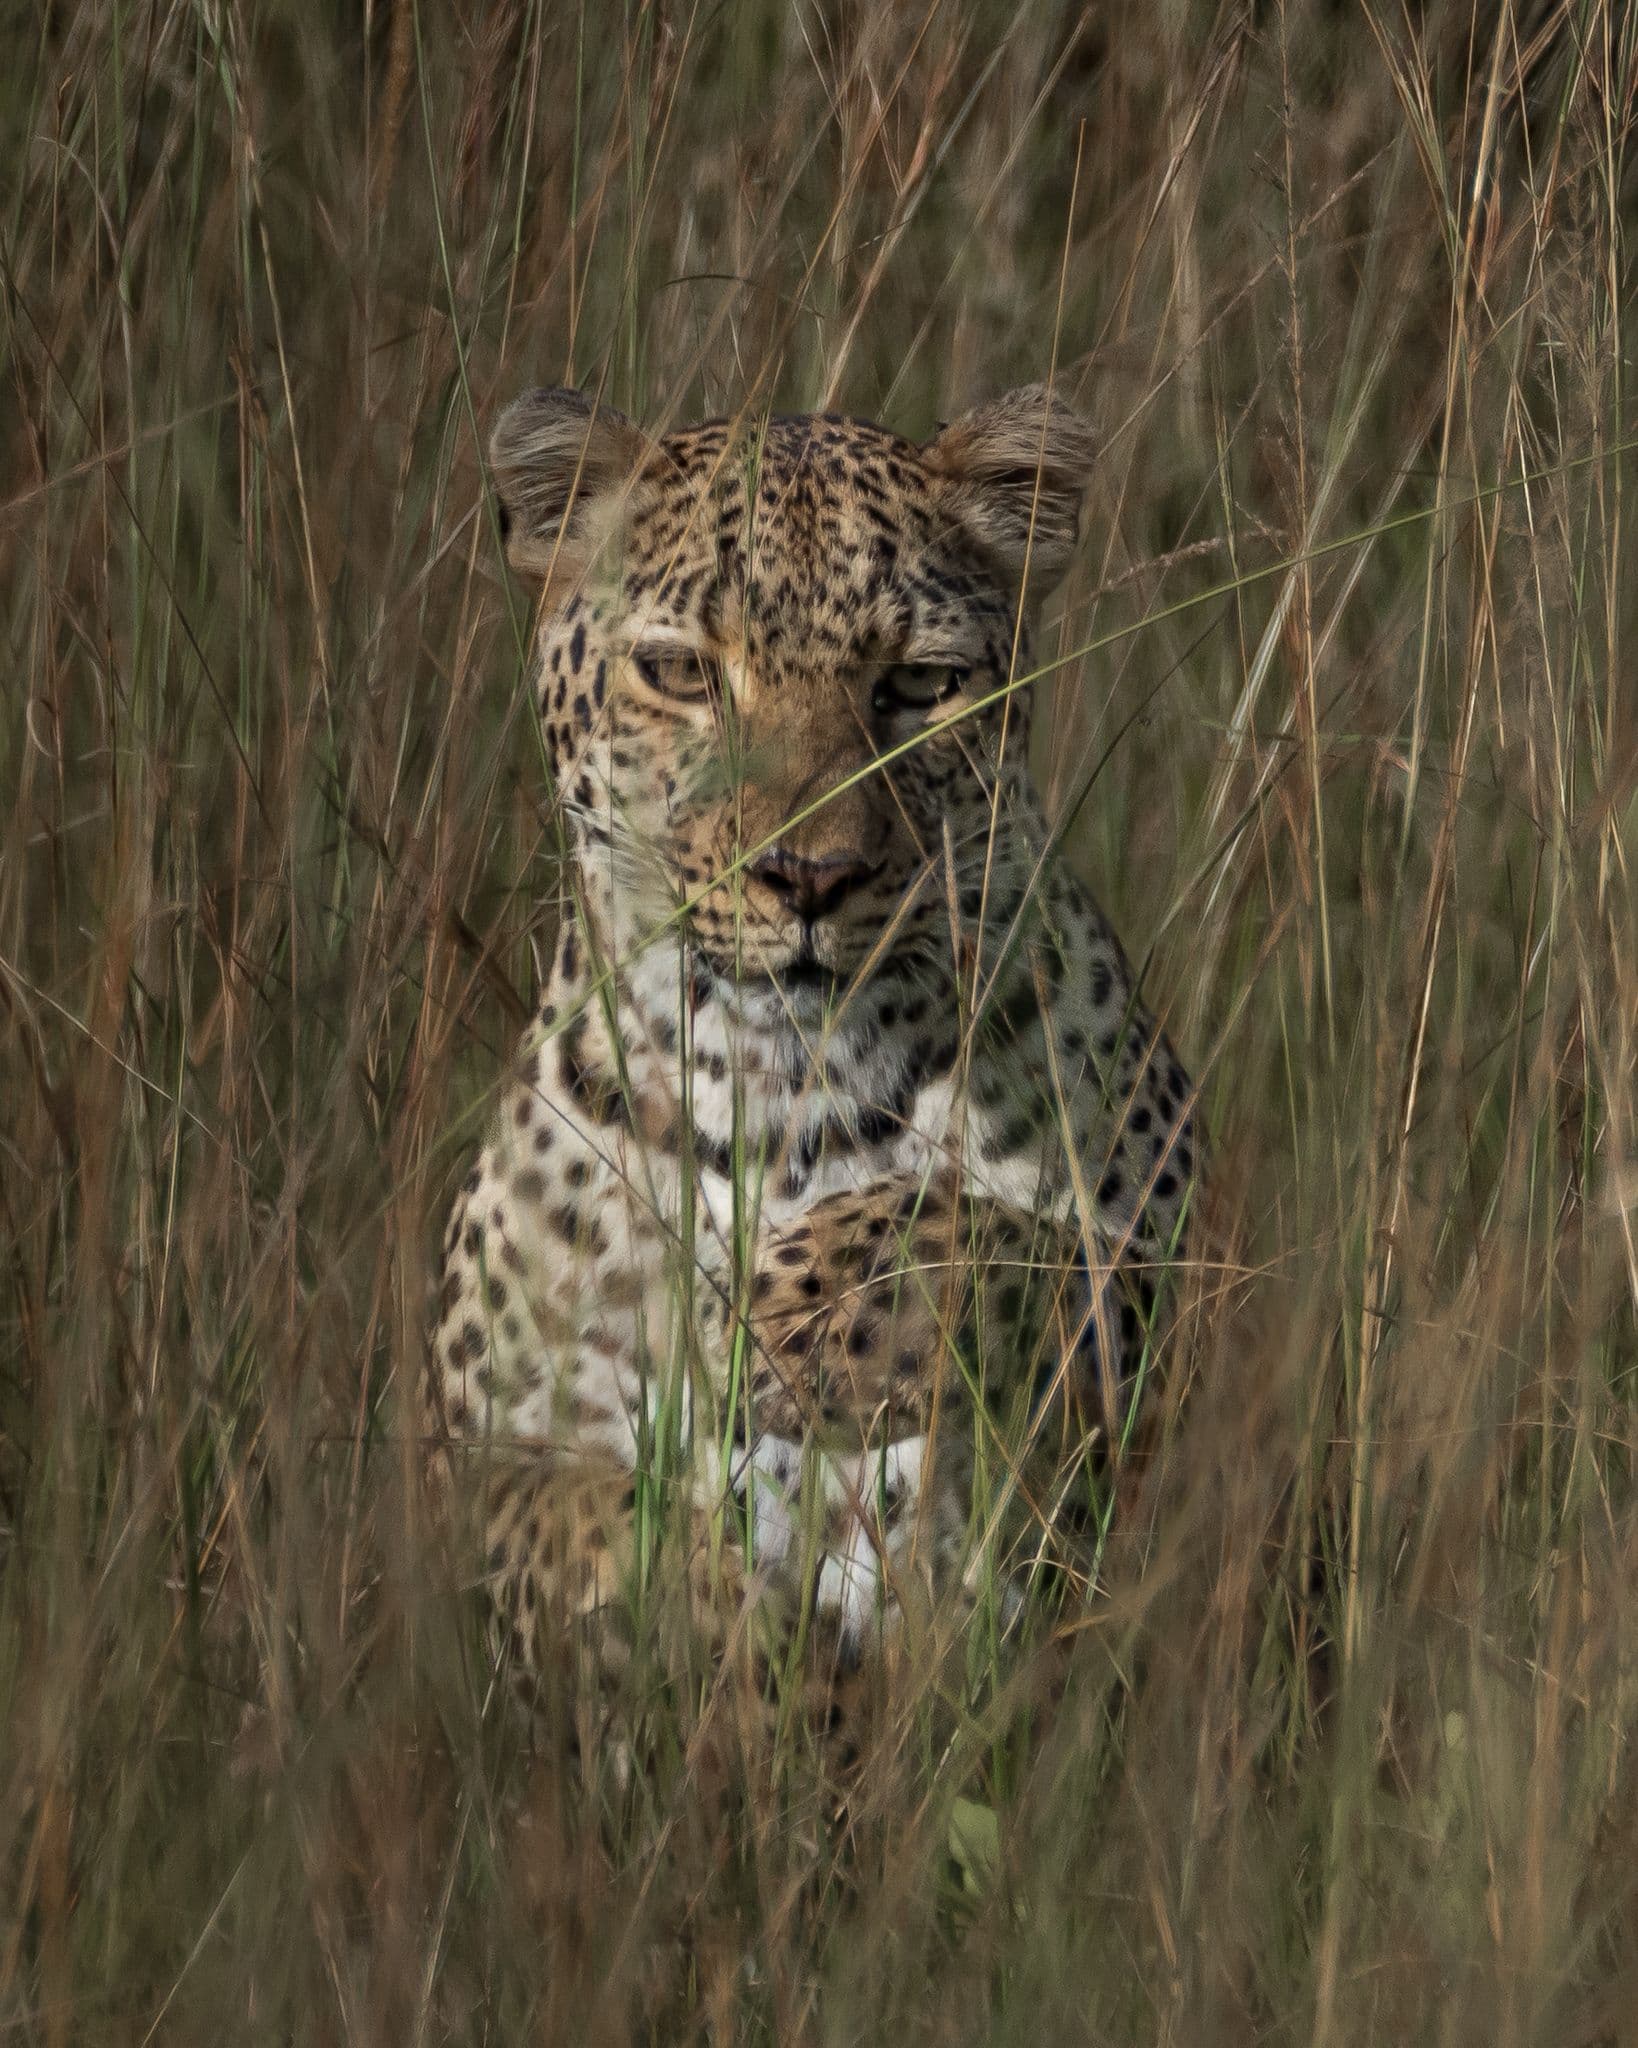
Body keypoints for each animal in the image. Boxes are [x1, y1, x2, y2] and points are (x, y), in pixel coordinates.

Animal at [427, 379, 1198, 1717]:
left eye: (920, 683)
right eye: (681, 671)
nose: (809, 874)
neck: (775, 1090)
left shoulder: (1191, 1291)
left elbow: (1019, 1239)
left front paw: (794, 1316)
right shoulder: (484, 1452)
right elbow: (572, 1529)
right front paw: (734, 1650)